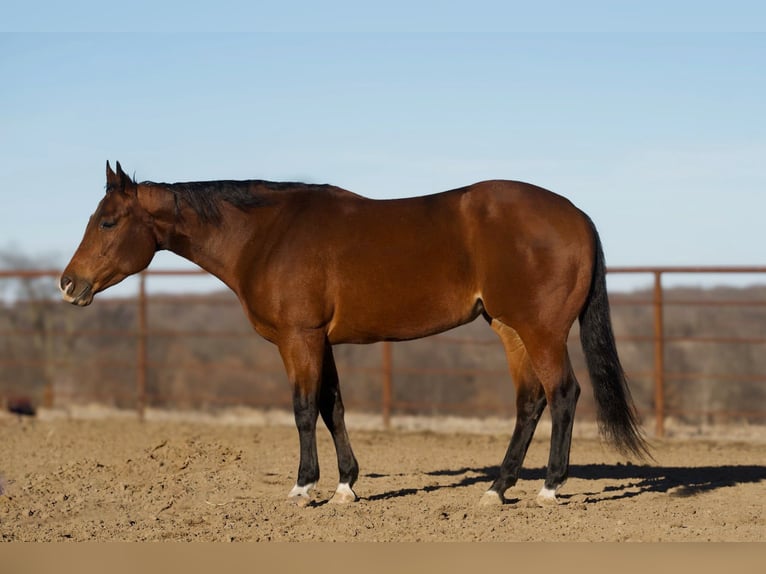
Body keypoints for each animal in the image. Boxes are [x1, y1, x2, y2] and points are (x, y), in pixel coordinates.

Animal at [60, 162, 652, 508]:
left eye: (108, 221)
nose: (69, 284)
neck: (267, 235)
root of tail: (576, 215)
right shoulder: (320, 341)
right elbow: (333, 408)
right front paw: (346, 485)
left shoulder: (298, 339)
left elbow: (303, 409)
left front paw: (304, 487)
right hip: (509, 327)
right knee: (530, 401)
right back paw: (496, 488)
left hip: (541, 329)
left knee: (564, 394)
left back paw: (550, 488)